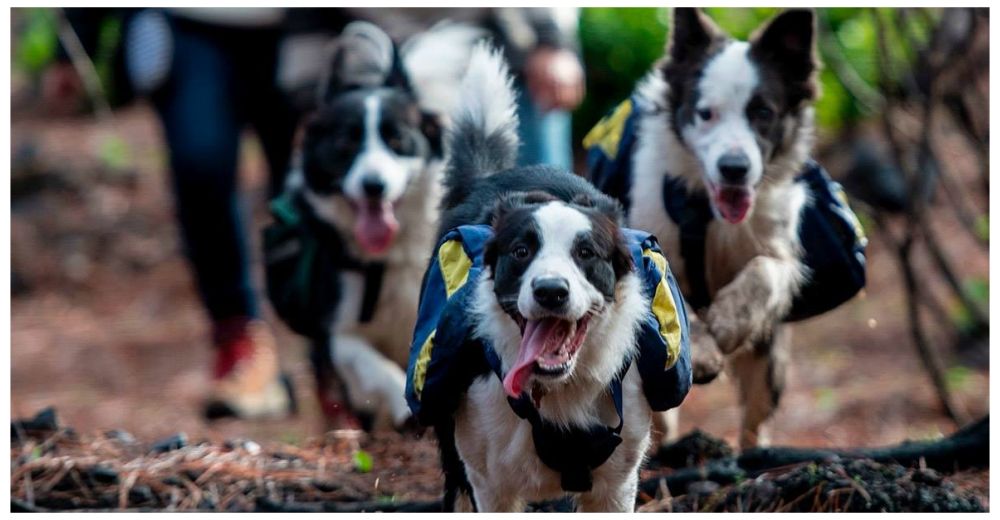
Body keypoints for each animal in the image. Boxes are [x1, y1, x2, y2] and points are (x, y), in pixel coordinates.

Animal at [418, 44, 684, 512]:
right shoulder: (489, 485)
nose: (550, 292)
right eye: (521, 252)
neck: (557, 390)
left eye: (586, 253)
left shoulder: (616, 486)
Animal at [608, 7, 820, 446]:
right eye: (705, 113)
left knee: (756, 417)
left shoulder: (781, 250)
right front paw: (704, 350)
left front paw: (724, 324)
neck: (709, 213)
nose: (734, 169)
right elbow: (667, 288)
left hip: (770, 360)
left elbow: (765, 271)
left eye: (763, 113)